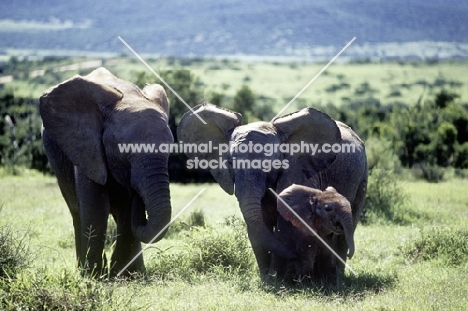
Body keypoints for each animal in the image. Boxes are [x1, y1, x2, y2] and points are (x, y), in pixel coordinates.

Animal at [39, 67, 174, 276]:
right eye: (125, 152)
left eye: (170, 152)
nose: (139, 194)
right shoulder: (86, 147)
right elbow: (96, 205)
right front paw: (94, 276)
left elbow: (126, 209)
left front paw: (125, 275)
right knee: (76, 210)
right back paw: (84, 269)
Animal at [177, 103, 368, 280]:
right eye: (230, 163)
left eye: (270, 165)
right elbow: (259, 223)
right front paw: (268, 280)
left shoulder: (299, 172)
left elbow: (287, 222)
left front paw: (282, 278)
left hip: (362, 178)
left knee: (348, 225)